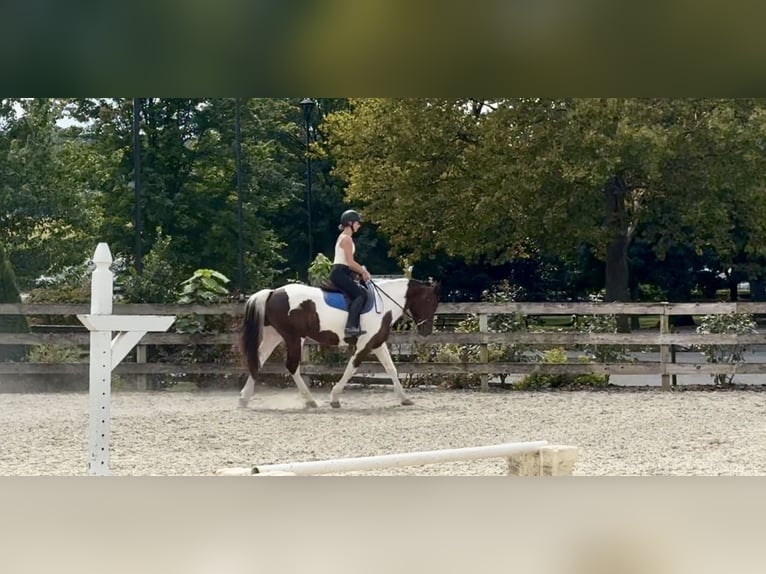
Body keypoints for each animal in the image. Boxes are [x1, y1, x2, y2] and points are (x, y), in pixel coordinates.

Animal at [238, 277, 440, 409]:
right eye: (429, 300)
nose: (426, 330)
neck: (384, 305)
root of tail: (273, 292)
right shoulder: (364, 345)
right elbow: (352, 367)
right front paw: (335, 397)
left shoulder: (377, 343)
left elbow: (391, 369)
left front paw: (405, 398)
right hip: (293, 338)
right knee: (292, 366)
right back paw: (310, 400)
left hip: (274, 336)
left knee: (258, 360)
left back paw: (244, 398)